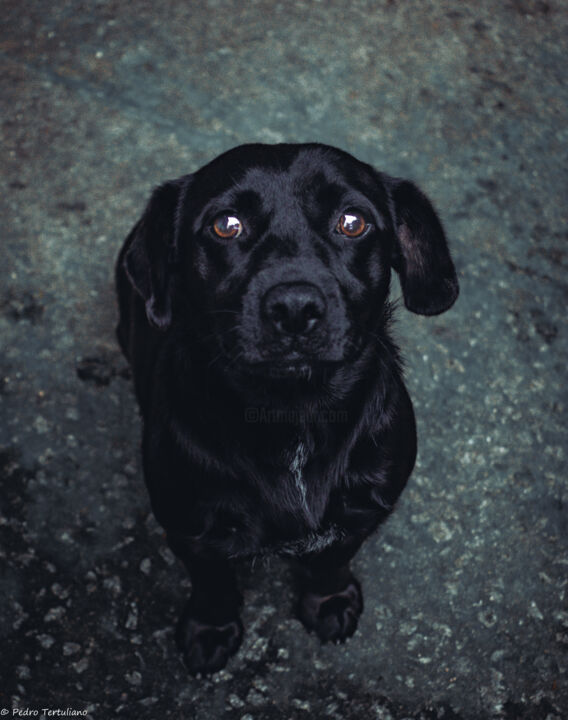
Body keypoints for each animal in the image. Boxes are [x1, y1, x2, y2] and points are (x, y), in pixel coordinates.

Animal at [114, 142, 458, 676]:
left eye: (353, 222)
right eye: (226, 225)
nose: (295, 307)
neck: (292, 413)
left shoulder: (362, 512)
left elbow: (332, 560)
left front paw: (328, 600)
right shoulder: (190, 531)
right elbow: (213, 585)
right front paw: (211, 629)